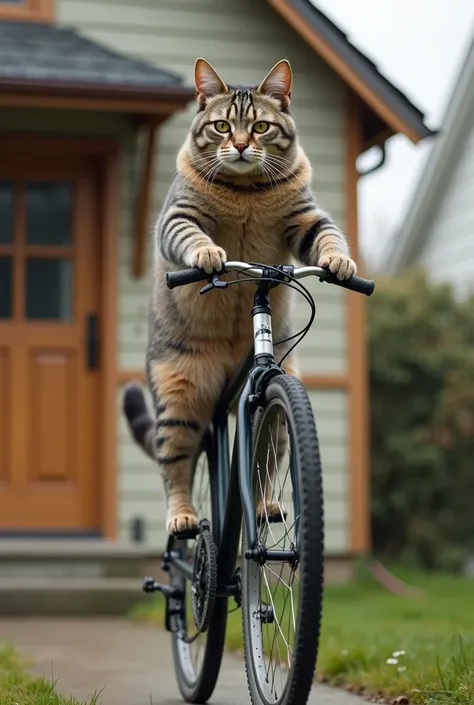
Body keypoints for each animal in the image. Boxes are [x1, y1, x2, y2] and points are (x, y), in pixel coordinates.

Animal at [122, 59, 356, 532]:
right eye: (223, 126)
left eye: (261, 126)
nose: (243, 145)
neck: (246, 190)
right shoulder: (179, 215)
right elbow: (190, 237)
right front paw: (208, 254)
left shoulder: (308, 219)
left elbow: (328, 237)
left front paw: (339, 261)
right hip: (179, 402)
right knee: (174, 467)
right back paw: (183, 518)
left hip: (277, 402)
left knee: (264, 459)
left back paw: (265, 505)